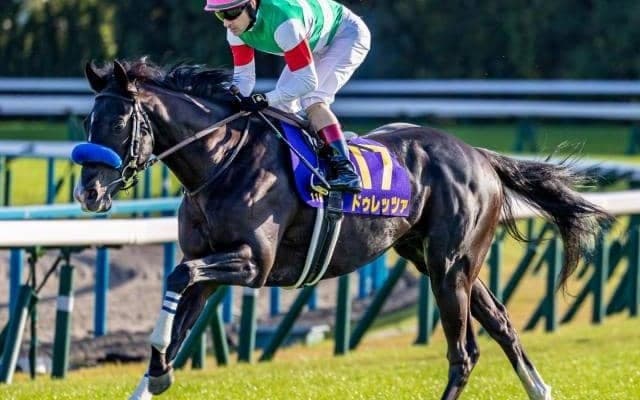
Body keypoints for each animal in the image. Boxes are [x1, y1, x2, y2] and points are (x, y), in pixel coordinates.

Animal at [73, 59, 612, 400]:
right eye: (87, 121)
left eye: (119, 122)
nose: (88, 193)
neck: (222, 160)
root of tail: (478, 155)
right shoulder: (210, 261)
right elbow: (179, 314)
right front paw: (154, 376)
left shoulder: (253, 263)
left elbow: (177, 276)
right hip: (441, 262)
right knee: (500, 324)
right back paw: (540, 390)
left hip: (450, 267)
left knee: (464, 352)